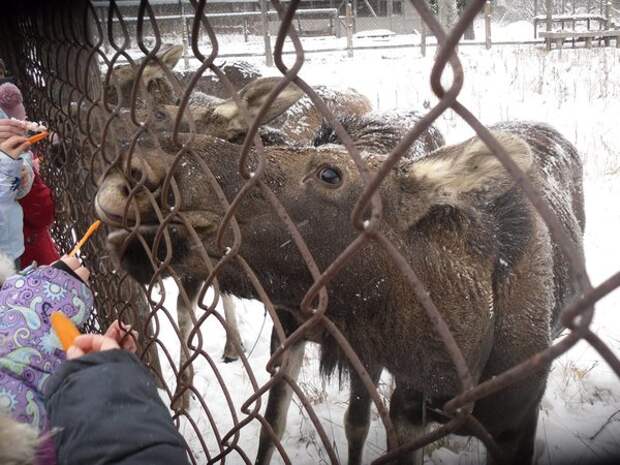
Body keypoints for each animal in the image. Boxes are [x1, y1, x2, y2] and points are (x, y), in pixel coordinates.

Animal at [95, 107, 588, 462]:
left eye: (330, 173)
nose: (136, 169)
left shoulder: (510, 423)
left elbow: (354, 424)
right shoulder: (388, 389)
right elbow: (273, 423)